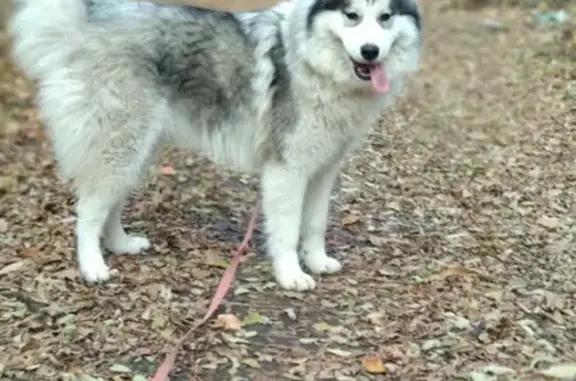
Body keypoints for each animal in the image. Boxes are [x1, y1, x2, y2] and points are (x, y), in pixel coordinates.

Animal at [10, 0, 424, 290]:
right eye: (352, 15)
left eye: (386, 17)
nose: (370, 51)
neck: (311, 59)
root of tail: (82, 29)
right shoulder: (287, 171)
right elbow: (288, 229)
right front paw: (290, 274)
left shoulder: (323, 169)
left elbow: (315, 223)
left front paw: (318, 261)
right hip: (120, 147)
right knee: (88, 210)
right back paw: (92, 266)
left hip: (137, 151)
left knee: (109, 205)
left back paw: (121, 244)